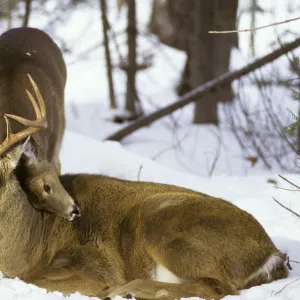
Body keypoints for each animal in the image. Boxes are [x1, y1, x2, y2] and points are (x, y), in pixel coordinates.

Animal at [0, 142, 288, 298]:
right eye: (45, 186)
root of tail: (271, 253)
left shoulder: (97, 263)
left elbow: (33, 280)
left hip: (162, 220)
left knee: (219, 287)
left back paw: (124, 291)